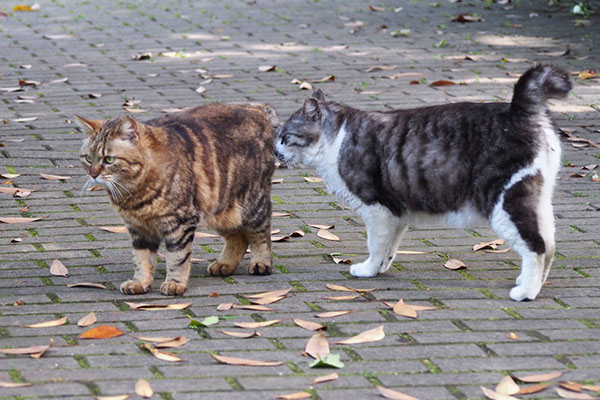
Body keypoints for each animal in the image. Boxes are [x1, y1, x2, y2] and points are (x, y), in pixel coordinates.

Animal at [76, 104, 278, 296]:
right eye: (88, 158)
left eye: (109, 159)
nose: (93, 174)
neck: (133, 193)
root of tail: (258, 108)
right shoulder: (139, 229)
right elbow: (142, 260)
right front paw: (140, 282)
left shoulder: (180, 223)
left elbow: (177, 259)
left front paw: (174, 283)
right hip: (220, 209)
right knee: (239, 238)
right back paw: (225, 264)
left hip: (251, 205)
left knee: (261, 233)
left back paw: (261, 262)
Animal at [276, 65, 572, 300]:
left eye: (284, 136)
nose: (274, 151)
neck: (336, 139)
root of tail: (518, 111)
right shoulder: (395, 213)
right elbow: (389, 248)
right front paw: (381, 268)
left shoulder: (376, 209)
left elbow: (375, 245)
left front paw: (368, 270)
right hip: (537, 201)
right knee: (550, 245)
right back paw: (534, 283)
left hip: (504, 203)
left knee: (536, 246)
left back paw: (526, 292)